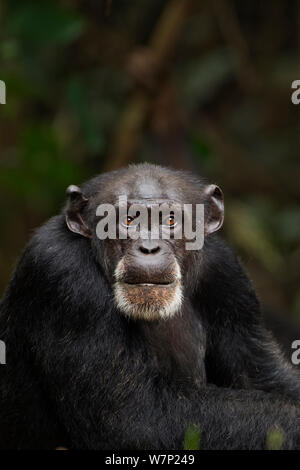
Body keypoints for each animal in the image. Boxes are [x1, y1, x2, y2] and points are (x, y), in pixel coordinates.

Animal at [0, 163, 300, 450]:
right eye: (127, 220)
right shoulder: (63, 274)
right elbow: (134, 421)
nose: (149, 247)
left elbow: (263, 376)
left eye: (170, 220)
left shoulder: (228, 276)